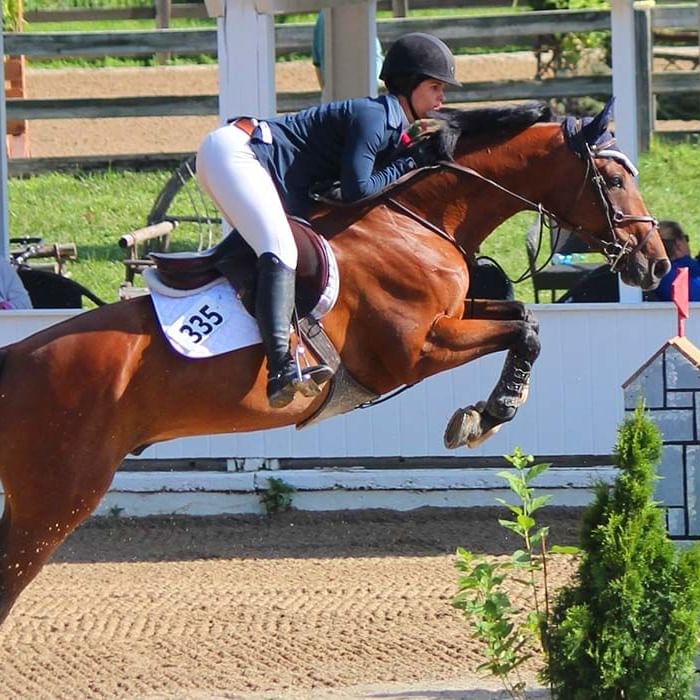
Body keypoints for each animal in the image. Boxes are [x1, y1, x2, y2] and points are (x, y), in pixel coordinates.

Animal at [0, 101, 669, 625]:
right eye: (613, 180)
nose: (656, 263)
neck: (417, 223)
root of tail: (13, 362)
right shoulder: (414, 351)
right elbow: (524, 332)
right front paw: (491, 412)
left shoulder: (456, 315)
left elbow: (524, 317)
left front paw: (485, 413)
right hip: (55, 501)